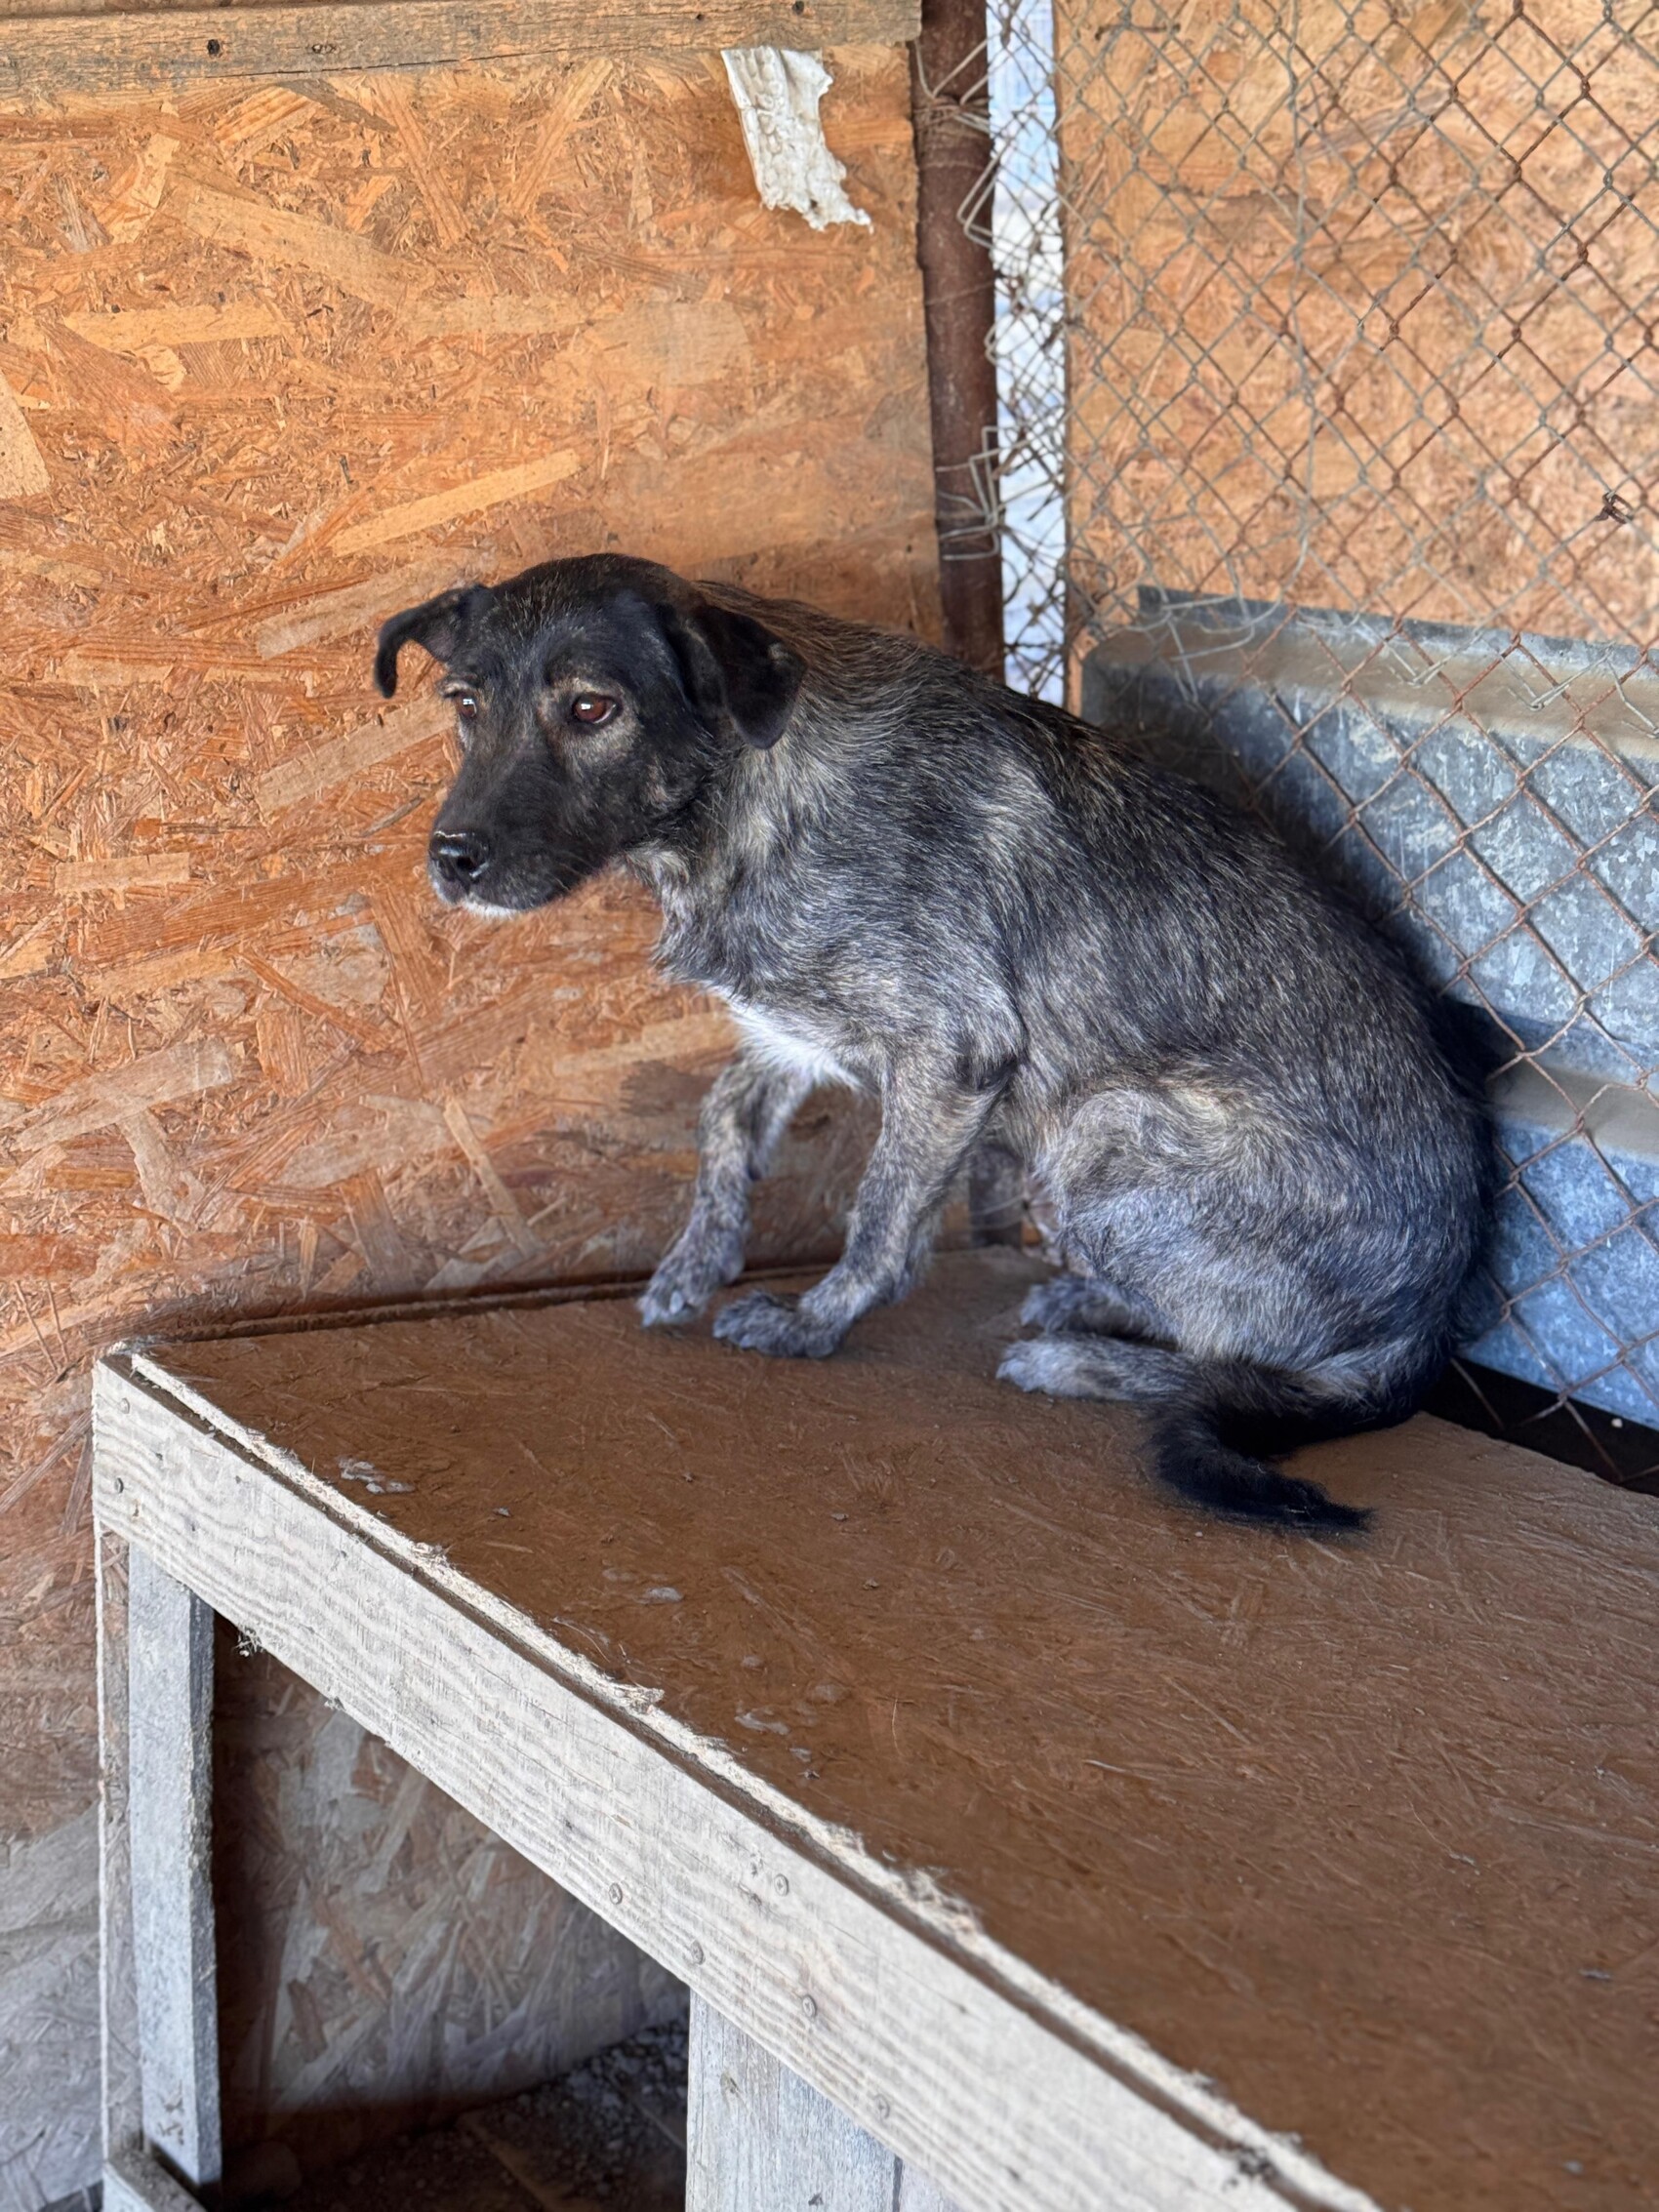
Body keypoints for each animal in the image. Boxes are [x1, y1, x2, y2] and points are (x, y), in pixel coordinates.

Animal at [376, 554, 1489, 1530]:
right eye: (464, 702)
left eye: (591, 709)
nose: (453, 860)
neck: (749, 789)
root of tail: (1425, 1326)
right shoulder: (792, 1028)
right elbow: (722, 1122)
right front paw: (698, 1260)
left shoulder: (950, 1054)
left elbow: (879, 1220)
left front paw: (810, 1325)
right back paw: (1082, 1301)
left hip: (1105, 1129)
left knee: (1240, 1365)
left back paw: (1077, 1360)